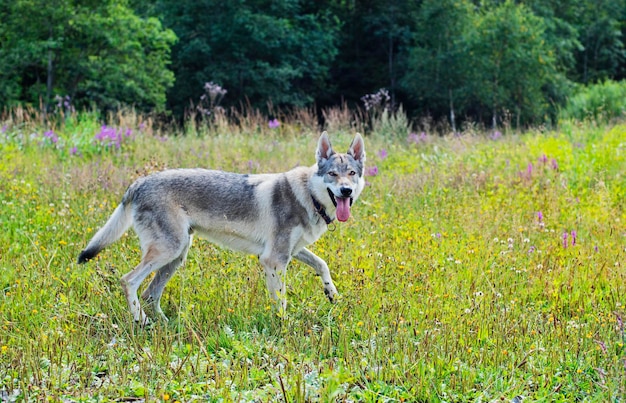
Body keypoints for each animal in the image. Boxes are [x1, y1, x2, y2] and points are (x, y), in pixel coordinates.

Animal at [77, 133, 366, 326]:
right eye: (332, 174)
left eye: (351, 173)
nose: (346, 191)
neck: (308, 196)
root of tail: (138, 183)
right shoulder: (273, 259)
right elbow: (281, 301)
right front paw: (284, 327)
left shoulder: (291, 252)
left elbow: (322, 264)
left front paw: (332, 294)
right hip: (168, 250)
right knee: (128, 281)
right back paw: (142, 321)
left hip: (177, 255)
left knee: (150, 294)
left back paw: (165, 325)